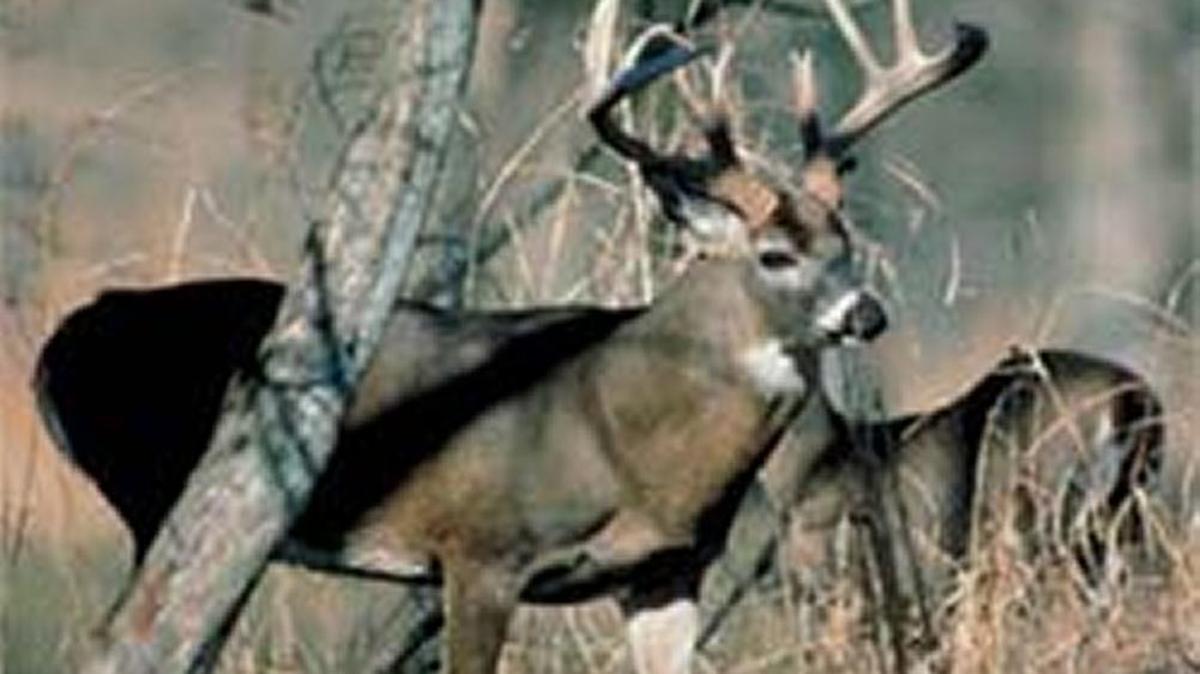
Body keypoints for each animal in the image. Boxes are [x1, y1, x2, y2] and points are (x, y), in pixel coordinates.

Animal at [35, 0, 988, 671]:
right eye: (775, 254)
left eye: (846, 239)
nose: (866, 314)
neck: (624, 437)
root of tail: (58, 345)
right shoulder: (480, 549)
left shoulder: (665, 572)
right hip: (162, 494)